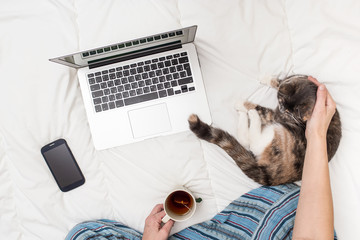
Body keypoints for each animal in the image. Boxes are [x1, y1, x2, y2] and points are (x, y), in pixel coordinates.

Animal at [187, 75, 342, 186]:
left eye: (288, 112)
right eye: (281, 101)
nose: (282, 109)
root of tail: (271, 177)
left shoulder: (275, 116)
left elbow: (262, 110)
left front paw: (246, 105)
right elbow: (279, 82)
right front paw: (268, 78)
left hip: (280, 134)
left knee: (252, 142)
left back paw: (248, 113)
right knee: (246, 142)